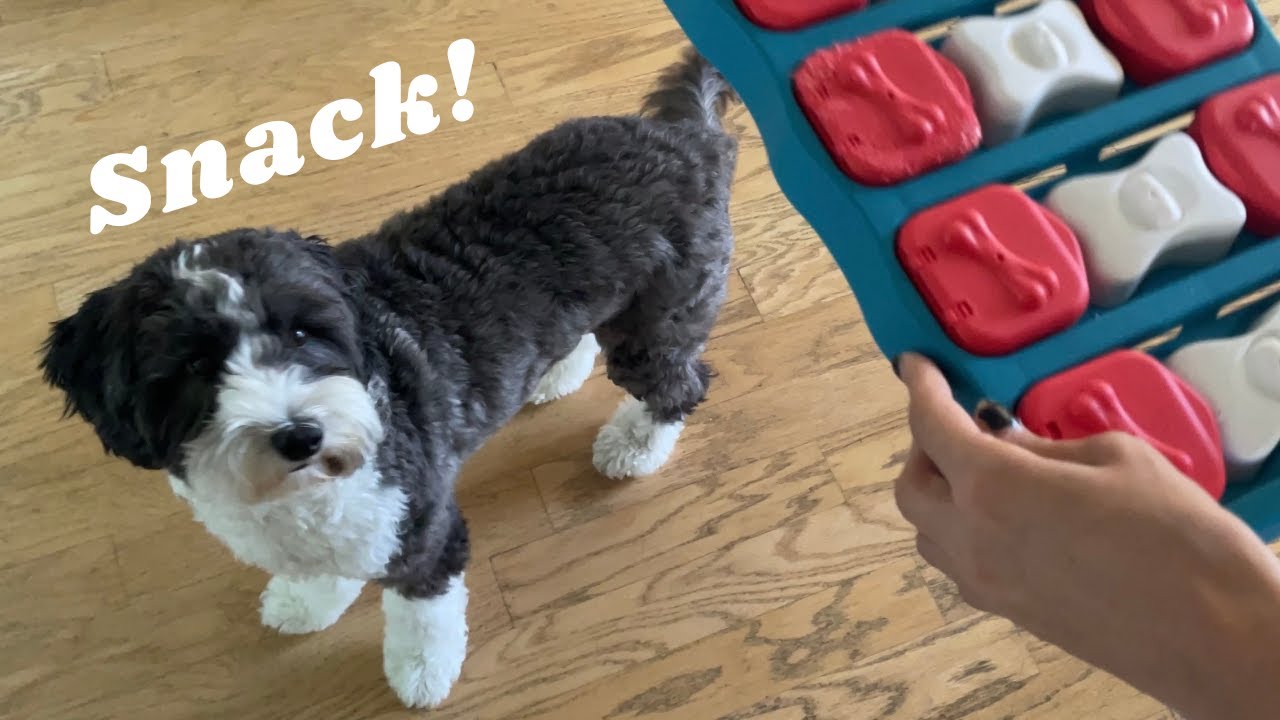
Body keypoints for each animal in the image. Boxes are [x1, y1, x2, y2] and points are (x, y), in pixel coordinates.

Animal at [37, 50, 742, 707]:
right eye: (194, 366)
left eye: (303, 333)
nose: (300, 435)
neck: (296, 495)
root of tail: (688, 137)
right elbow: (324, 568)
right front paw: (307, 602)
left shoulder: (422, 531)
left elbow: (422, 617)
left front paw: (421, 673)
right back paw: (558, 370)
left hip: (659, 321)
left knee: (681, 386)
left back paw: (635, 445)